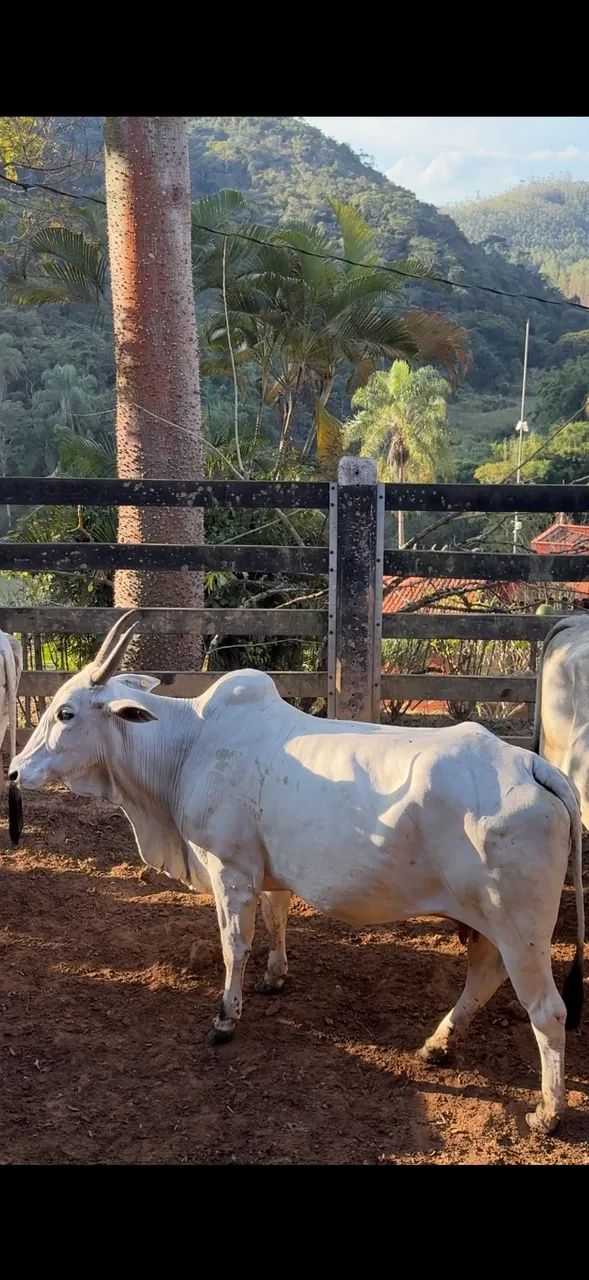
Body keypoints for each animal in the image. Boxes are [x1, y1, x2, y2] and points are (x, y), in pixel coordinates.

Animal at [9, 612, 585, 1135]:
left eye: (66, 713)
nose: (14, 770)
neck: (188, 745)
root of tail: (533, 765)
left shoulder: (231, 870)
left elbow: (234, 944)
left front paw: (226, 1017)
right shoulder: (267, 871)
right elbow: (277, 918)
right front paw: (275, 976)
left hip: (521, 928)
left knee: (547, 1011)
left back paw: (547, 1112)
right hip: (491, 920)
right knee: (485, 976)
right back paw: (436, 1045)